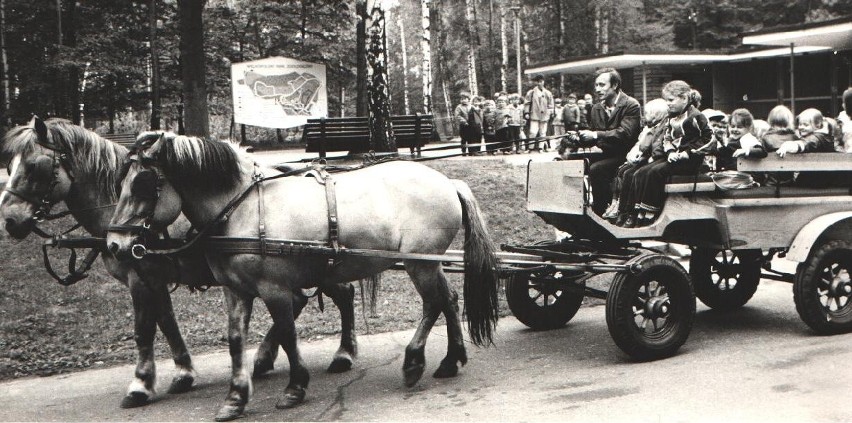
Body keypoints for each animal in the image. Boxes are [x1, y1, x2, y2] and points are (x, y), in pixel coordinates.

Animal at [0, 117, 362, 410]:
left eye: (34, 167)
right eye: (10, 166)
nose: (9, 220)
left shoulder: (140, 279)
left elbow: (144, 330)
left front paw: (140, 384)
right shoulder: (155, 279)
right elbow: (167, 322)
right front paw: (184, 372)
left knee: (341, 294)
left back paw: (342, 353)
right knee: (307, 299)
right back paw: (265, 358)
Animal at [109, 131, 502, 422]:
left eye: (143, 184)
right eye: (121, 183)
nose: (115, 244)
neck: (242, 207)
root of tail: (448, 181)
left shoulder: (275, 288)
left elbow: (286, 332)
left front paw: (294, 387)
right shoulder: (235, 290)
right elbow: (236, 340)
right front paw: (236, 397)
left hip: (419, 263)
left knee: (432, 304)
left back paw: (413, 361)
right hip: (429, 264)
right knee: (448, 299)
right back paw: (450, 360)